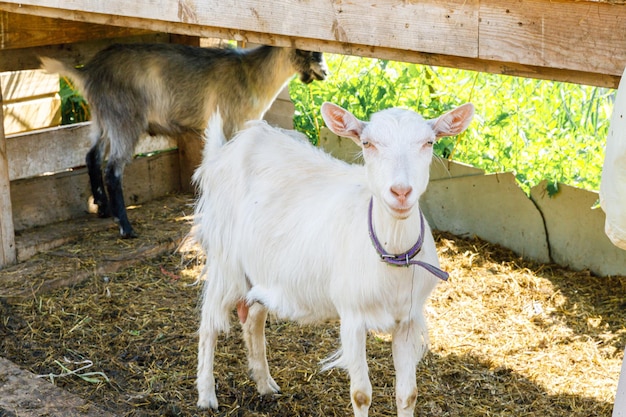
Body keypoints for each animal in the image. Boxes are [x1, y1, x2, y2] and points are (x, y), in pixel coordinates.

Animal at [193, 99, 470, 414]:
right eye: (367, 143)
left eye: (429, 142)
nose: (401, 192)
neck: (393, 257)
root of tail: (228, 149)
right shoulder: (352, 316)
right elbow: (361, 394)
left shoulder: (408, 319)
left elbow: (408, 394)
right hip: (225, 260)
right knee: (208, 323)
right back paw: (206, 395)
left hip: (261, 272)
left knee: (253, 320)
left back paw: (265, 385)